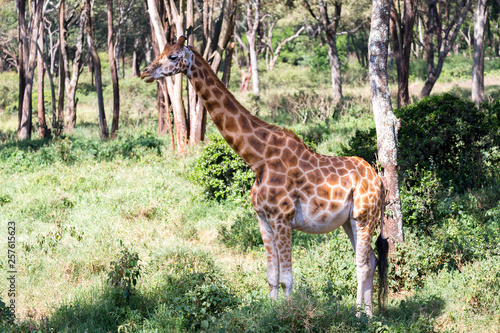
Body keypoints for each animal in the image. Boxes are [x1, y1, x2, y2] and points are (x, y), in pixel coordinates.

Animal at [141, 37, 390, 316]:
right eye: (161, 52)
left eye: (173, 57)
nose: (145, 72)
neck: (257, 159)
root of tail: (379, 181)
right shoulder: (263, 220)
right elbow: (272, 276)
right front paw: (270, 314)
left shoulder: (283, 218)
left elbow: (287, 279)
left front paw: (291, 315)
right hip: (350, 221)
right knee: (372, 259)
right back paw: (368, 314)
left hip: (364, 216)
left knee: (364, 264)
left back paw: (359, 316)